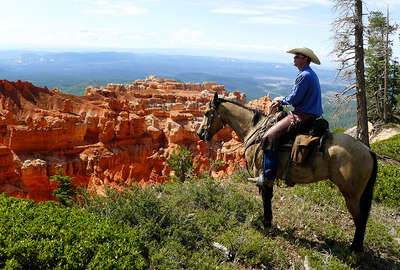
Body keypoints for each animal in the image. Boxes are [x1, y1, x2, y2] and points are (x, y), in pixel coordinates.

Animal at [198, 93, 378, 253]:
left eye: (207, 113)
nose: (200, 134)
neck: (254, 129)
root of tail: (368, 151)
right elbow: (268, 198)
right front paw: (269, 220)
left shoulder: (262, 173)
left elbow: (265, 198)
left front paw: (266, 223)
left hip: (351, 195)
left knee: (360, 219)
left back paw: (354, 249)